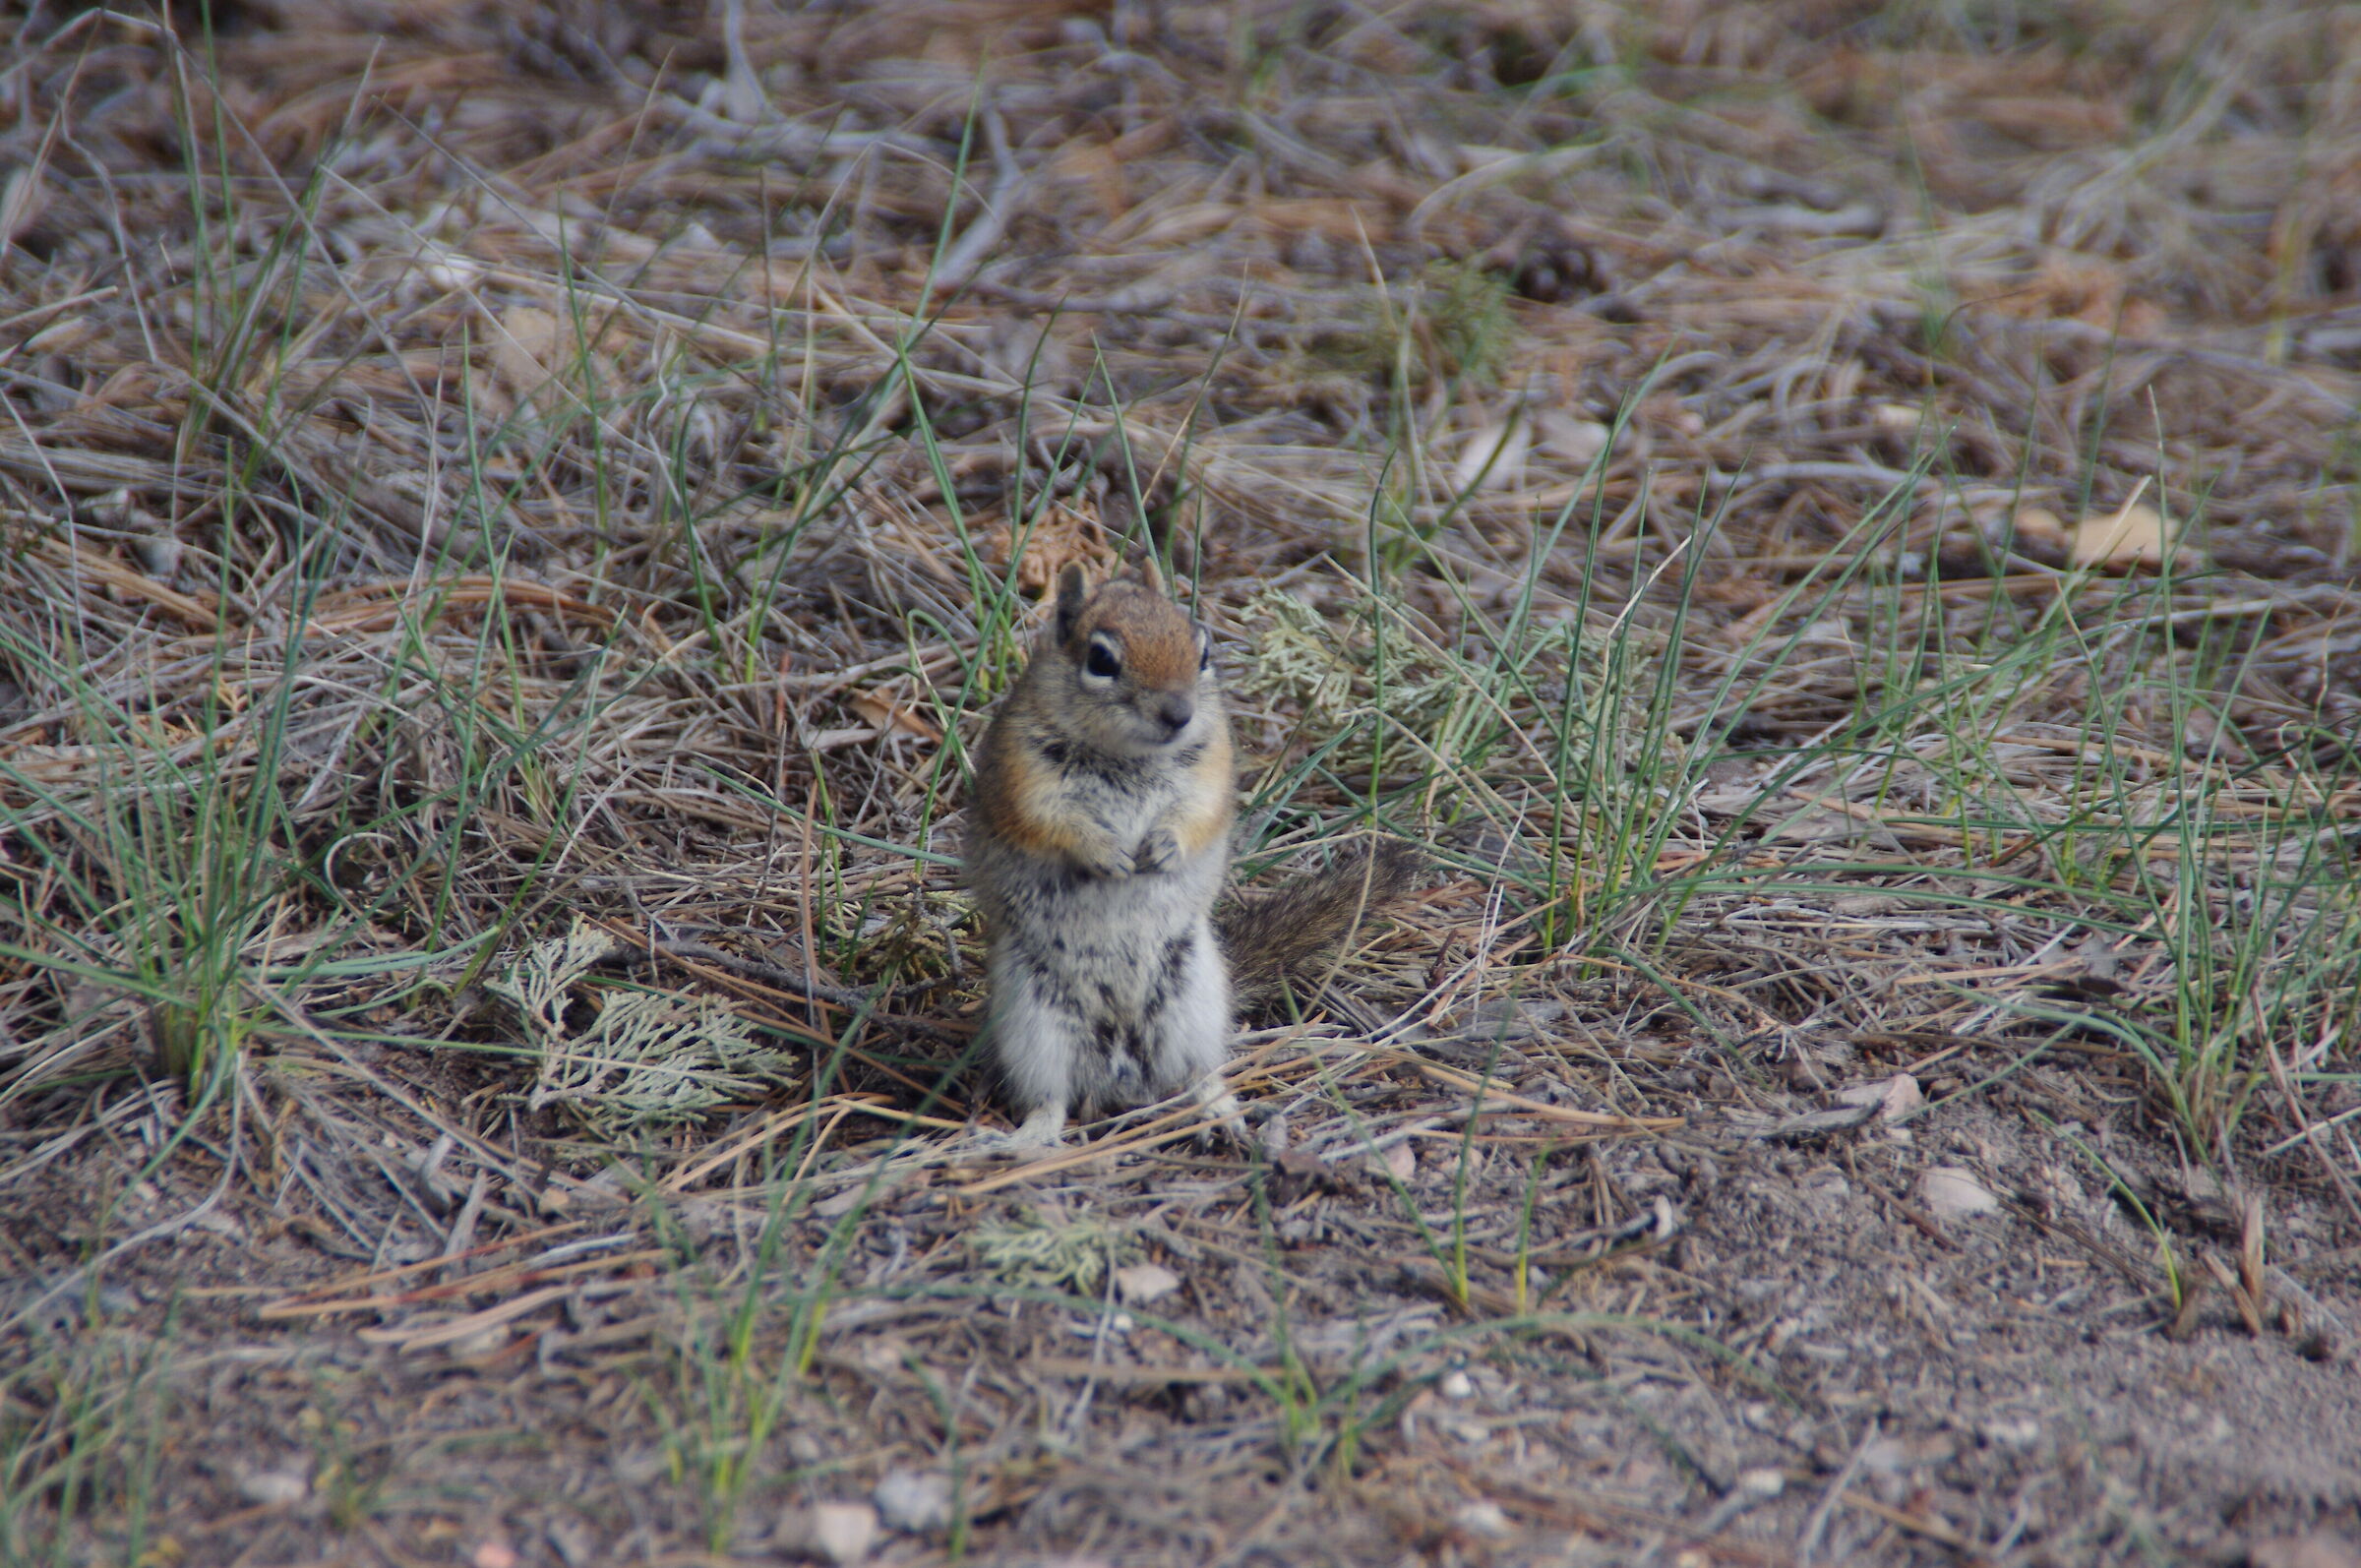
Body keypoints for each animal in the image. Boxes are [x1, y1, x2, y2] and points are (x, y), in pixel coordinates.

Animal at [966, 559, 1421, 1147]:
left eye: (1202, 651)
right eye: (1101, 660)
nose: (1178, 713)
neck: (1128, 756)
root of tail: (1123, 1062)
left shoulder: (1211, 767)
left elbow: (1197, 816)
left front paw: (1165, 848)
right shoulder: (1023, 774)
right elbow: (1051, 823)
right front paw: (1105, 852)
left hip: (1193, 1005)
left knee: (1196, 1073)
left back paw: (1221, 1110)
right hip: (1036, 1027)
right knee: (1052, 1100)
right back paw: (1021, 1141)